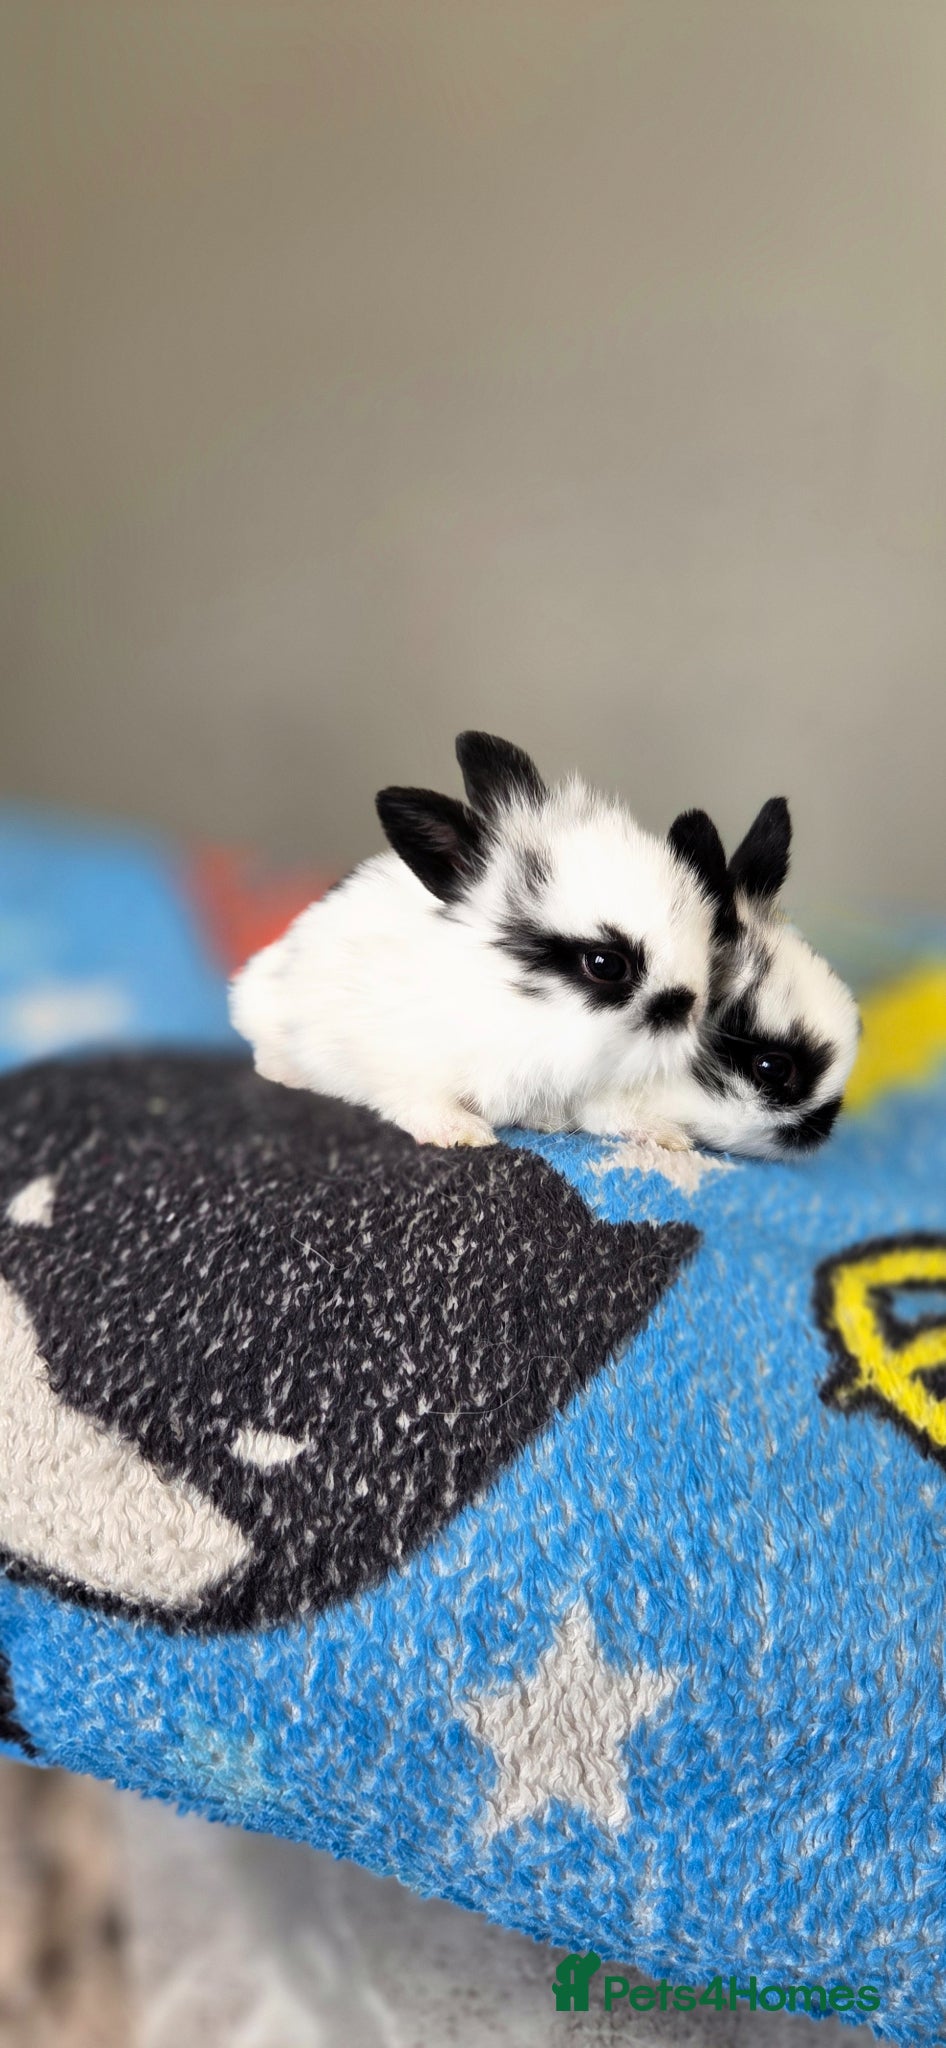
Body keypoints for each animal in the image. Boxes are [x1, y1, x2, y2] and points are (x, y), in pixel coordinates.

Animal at [229, 731, 734, 1149]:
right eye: (605, 964)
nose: (691, 1006)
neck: (521, 1011)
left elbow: (608, 1113)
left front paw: (664, 1137)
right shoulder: (403, 1066)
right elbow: (419, 1100)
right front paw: (462, 1134)